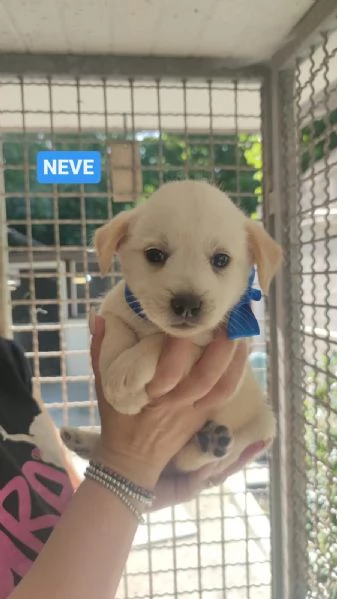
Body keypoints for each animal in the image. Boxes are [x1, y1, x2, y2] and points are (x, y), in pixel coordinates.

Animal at [61, 180, 280, 476]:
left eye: (221, 260)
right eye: (155, 255)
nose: (187, 304)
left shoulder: (206, 354)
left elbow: (161, 341)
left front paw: (125, 376)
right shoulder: (109, 313)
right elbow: (116, 329)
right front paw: (114, 377)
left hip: (264, 425)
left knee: (187, 461)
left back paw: (209, 444)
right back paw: (81, 440)